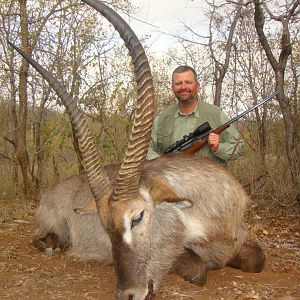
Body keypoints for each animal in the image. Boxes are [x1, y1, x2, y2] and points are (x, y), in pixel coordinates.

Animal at [8, 1, 264, 298]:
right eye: (106, 227)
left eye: (138, 217)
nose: (128, 293)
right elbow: (198, 269)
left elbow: (257, 260)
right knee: (40, 239)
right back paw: (52, 246)